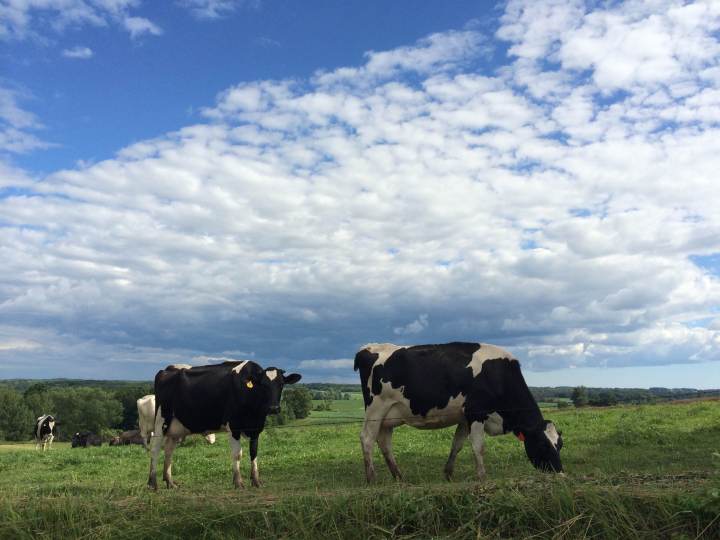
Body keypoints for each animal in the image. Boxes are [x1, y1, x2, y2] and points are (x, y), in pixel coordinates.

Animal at [147, 361, 301, 490]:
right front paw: (238, 482)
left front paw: (256, 481)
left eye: (281, 384)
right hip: (161, 420)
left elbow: (254, 453)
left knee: (168, 450)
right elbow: (237, 454)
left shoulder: (256, 428)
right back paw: (152, 483)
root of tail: (166, 369)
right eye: (263, 385)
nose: (273, 408)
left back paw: (170, 482)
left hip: (176, 427)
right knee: (154, 448)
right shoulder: (233, 426)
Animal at [354, 342, 564, 483]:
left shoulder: (465, 418)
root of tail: (368, 348)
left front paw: (448, 474)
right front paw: (482, 476)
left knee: (384, 441)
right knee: (367, 438)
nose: (560, 473)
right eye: (543, 445)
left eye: (560, 445)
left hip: (390, 414)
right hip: (376, 407)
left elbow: (457, 445)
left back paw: (398, 476)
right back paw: (371, 478)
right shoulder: (477, 412)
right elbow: (478, 446)